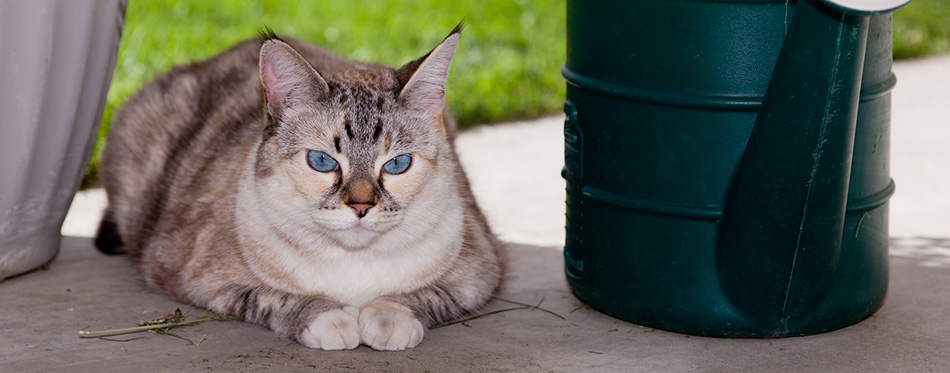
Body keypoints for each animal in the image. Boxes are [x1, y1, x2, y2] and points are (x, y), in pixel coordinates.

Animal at [95, 24, 506, 350]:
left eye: (397, 165)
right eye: (322, 162)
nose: (361, 207)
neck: (354, 269)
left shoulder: (480, 275)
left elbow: (420, 297)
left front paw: (388, 319)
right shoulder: (202, 281)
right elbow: (276, 299)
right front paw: (331, 320)